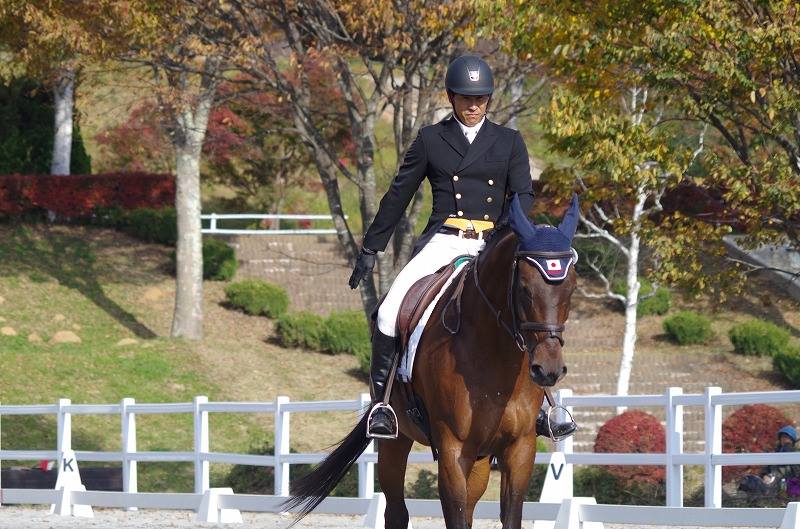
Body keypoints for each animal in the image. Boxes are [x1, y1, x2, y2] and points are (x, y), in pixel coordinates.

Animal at [284, 194, 579, 529]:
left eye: (571, 289)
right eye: (525, 290)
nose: (548, 369)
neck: (494, 357)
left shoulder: (520, 448)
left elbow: (508, 515)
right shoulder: (452, 449)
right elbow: (455, 513)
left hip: (480, 457)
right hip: (396, 441)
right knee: (396, 511)